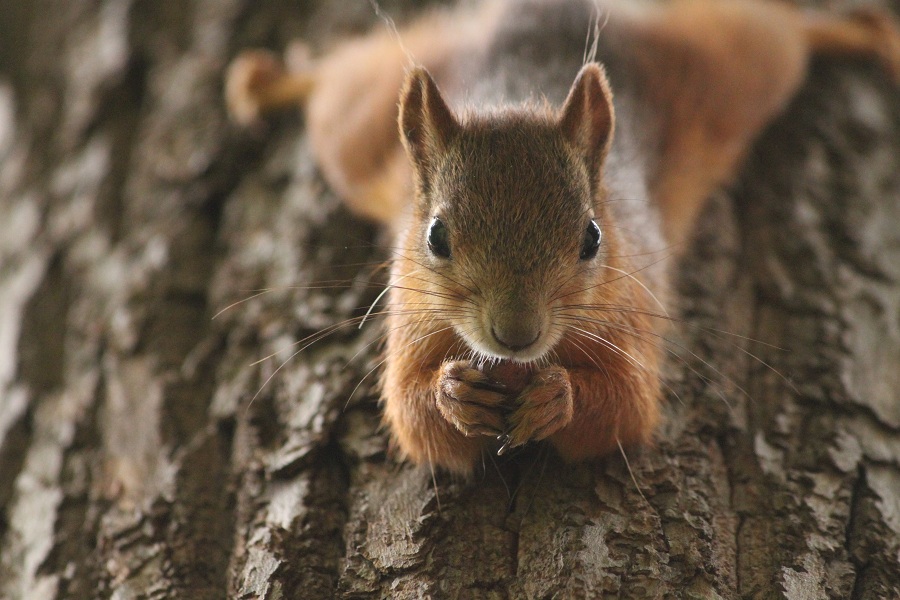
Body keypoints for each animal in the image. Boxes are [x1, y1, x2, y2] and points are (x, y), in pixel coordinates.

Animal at [230, 1, 900, 478]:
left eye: (592, 238)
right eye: (436, 237)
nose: (516, 334)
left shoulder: (632, 315)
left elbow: (626, 408)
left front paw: (559, 397)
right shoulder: (412, 322)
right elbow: (412, 417)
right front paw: (452, 395)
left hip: (734, 64)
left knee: (782, 26)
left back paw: (863, 32)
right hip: (357, 128)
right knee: (334, 77)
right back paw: (268, 82)